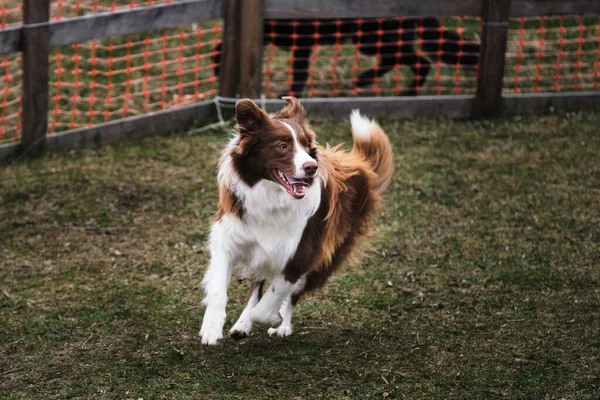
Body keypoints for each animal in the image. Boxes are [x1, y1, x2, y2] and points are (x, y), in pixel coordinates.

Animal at [198, 94, 394, 344]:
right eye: (282, 145)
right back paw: (242, 324)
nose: (312, 167)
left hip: (327, 257)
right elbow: (219, 289)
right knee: (257, 284)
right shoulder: (227, 238)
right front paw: (211, 327)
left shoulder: (303, 253)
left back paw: (281, 325)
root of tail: (360, 166)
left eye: (306, 145)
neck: (272, 198)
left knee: (291, 294)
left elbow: (271, 301)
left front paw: (274, 318)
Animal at [213, 18, 480, 97]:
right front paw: (217, 67)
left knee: (418, 61)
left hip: (370, 39)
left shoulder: (302, 40)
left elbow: (300, 73)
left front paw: (291, 96)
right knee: (414, 61)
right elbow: (220, 44)